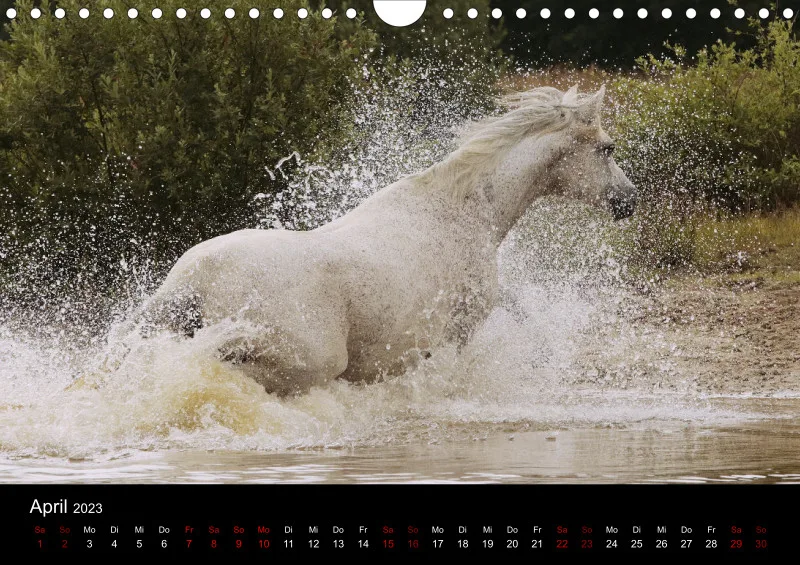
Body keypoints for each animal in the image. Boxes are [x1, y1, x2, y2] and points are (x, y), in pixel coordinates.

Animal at [119, 85, 636, 396]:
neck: (467, 211)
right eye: (606, 148)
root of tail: (196, 278)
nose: (629, 202)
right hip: (308, 361)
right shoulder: (458, 332)